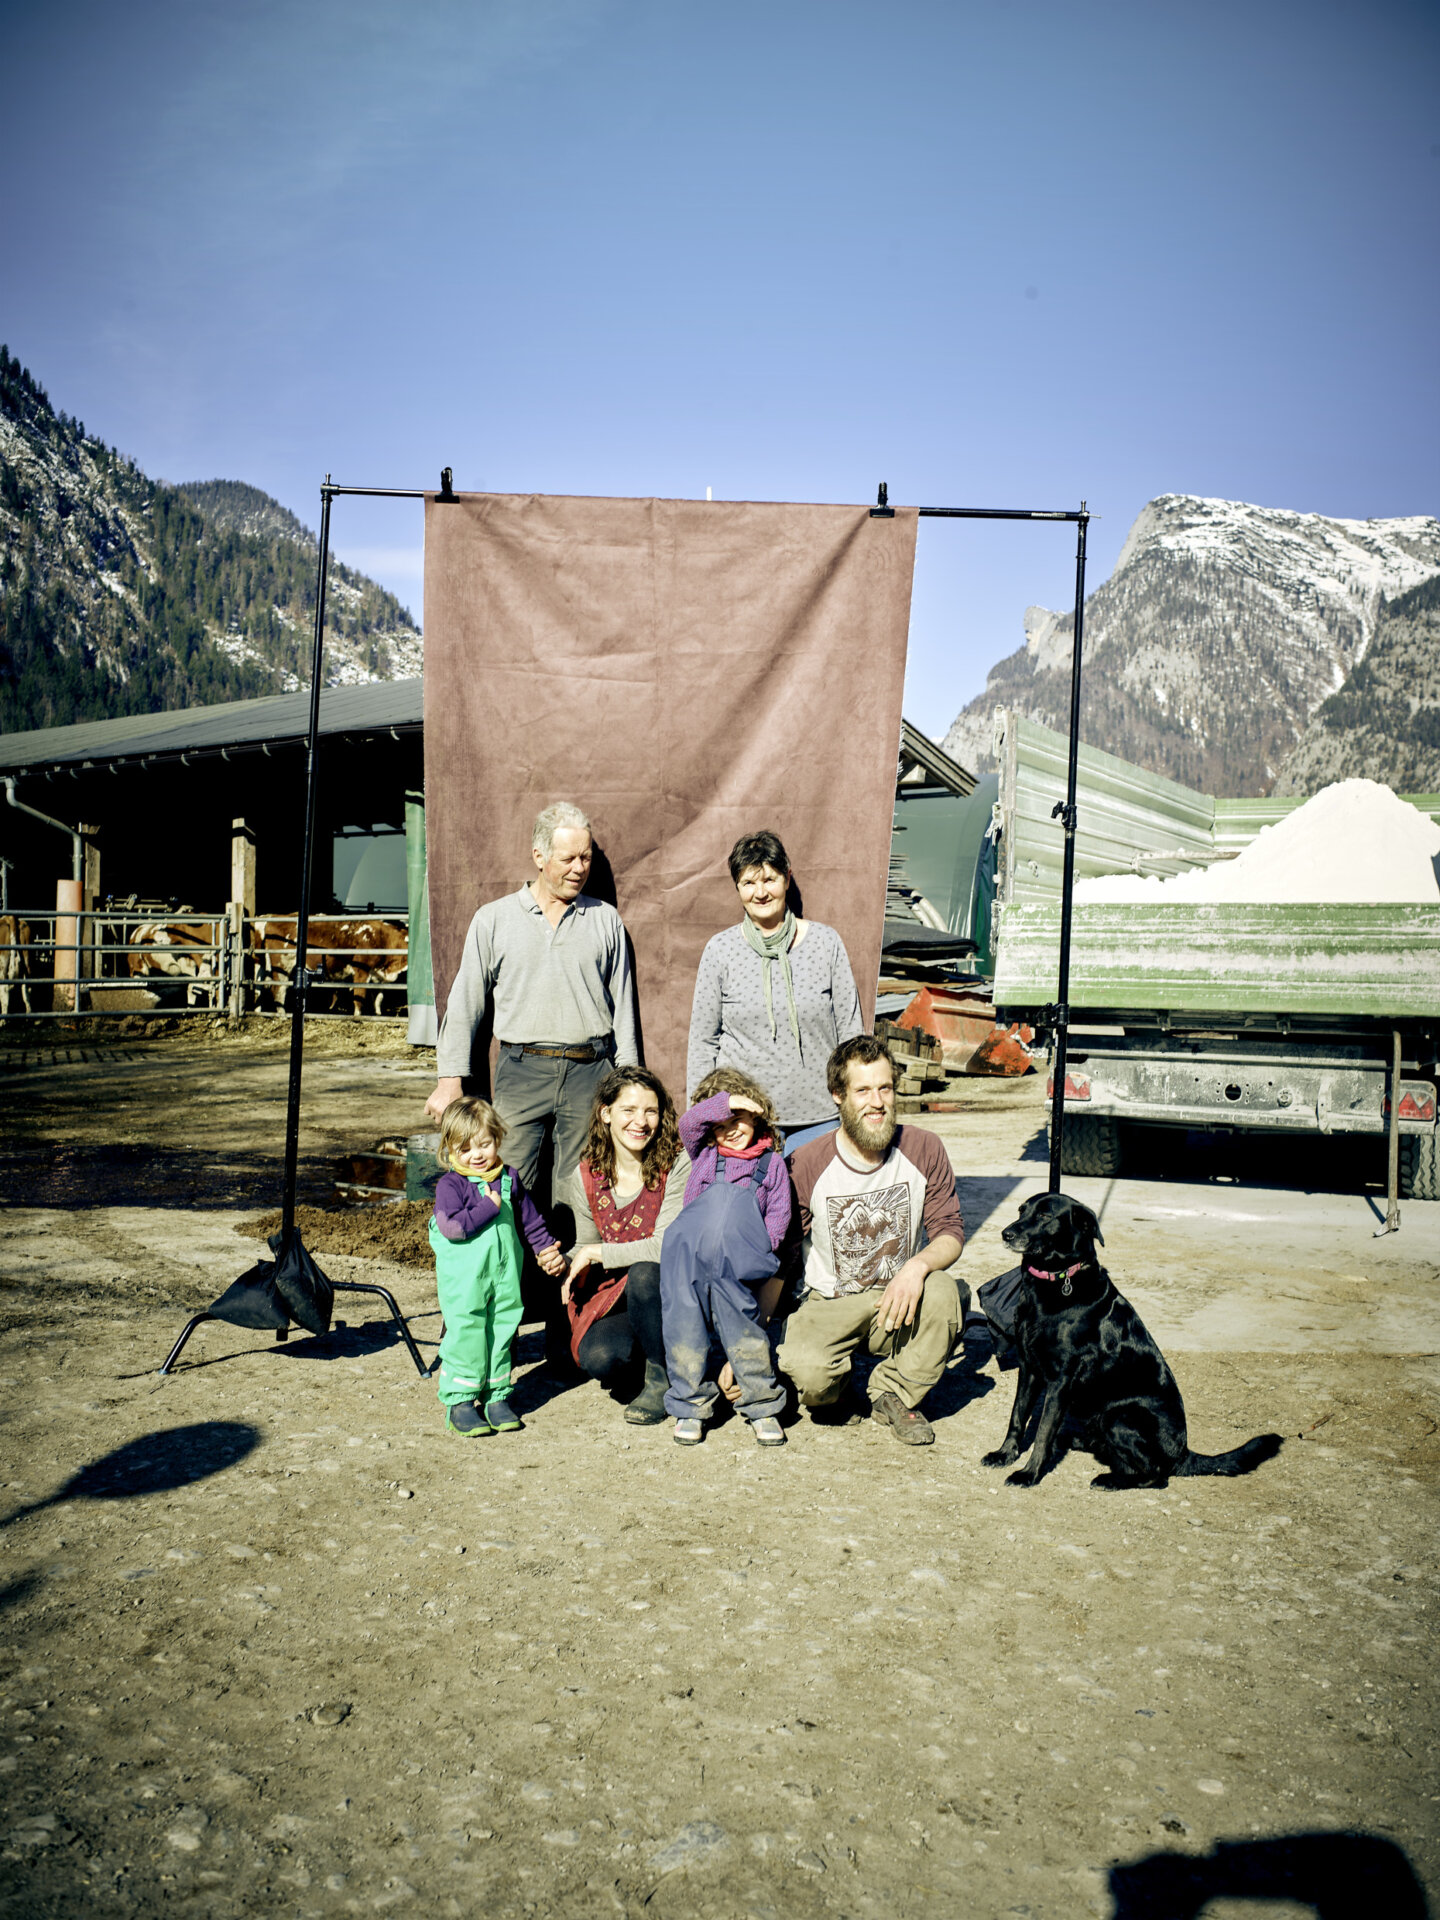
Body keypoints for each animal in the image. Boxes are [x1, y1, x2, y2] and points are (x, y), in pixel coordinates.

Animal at [251, 917, 407, 1021]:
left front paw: (378, 1015)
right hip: (282, 965)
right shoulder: (361, 971)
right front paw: (358, 1017)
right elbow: (360, 995)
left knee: (260, 986)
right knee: (278, 989)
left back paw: (258, 1011)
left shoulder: (379, 975)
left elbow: (378, 998)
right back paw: (282, 1015)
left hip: (264, 963)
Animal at [983, 1190, 1282, 1489]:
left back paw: (1110, 1479)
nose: (1006, 1234)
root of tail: (1183, 1453)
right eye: (1021, 1210)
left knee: (1156, 1475)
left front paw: (1029, 1473)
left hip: (1117, 1416)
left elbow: (1043, 1432)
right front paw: (1004, 1454)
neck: (1057, 1282)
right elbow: (1017, 1416)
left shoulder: (1060, 1380)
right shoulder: (1029, 1367)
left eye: (1045, 1215)